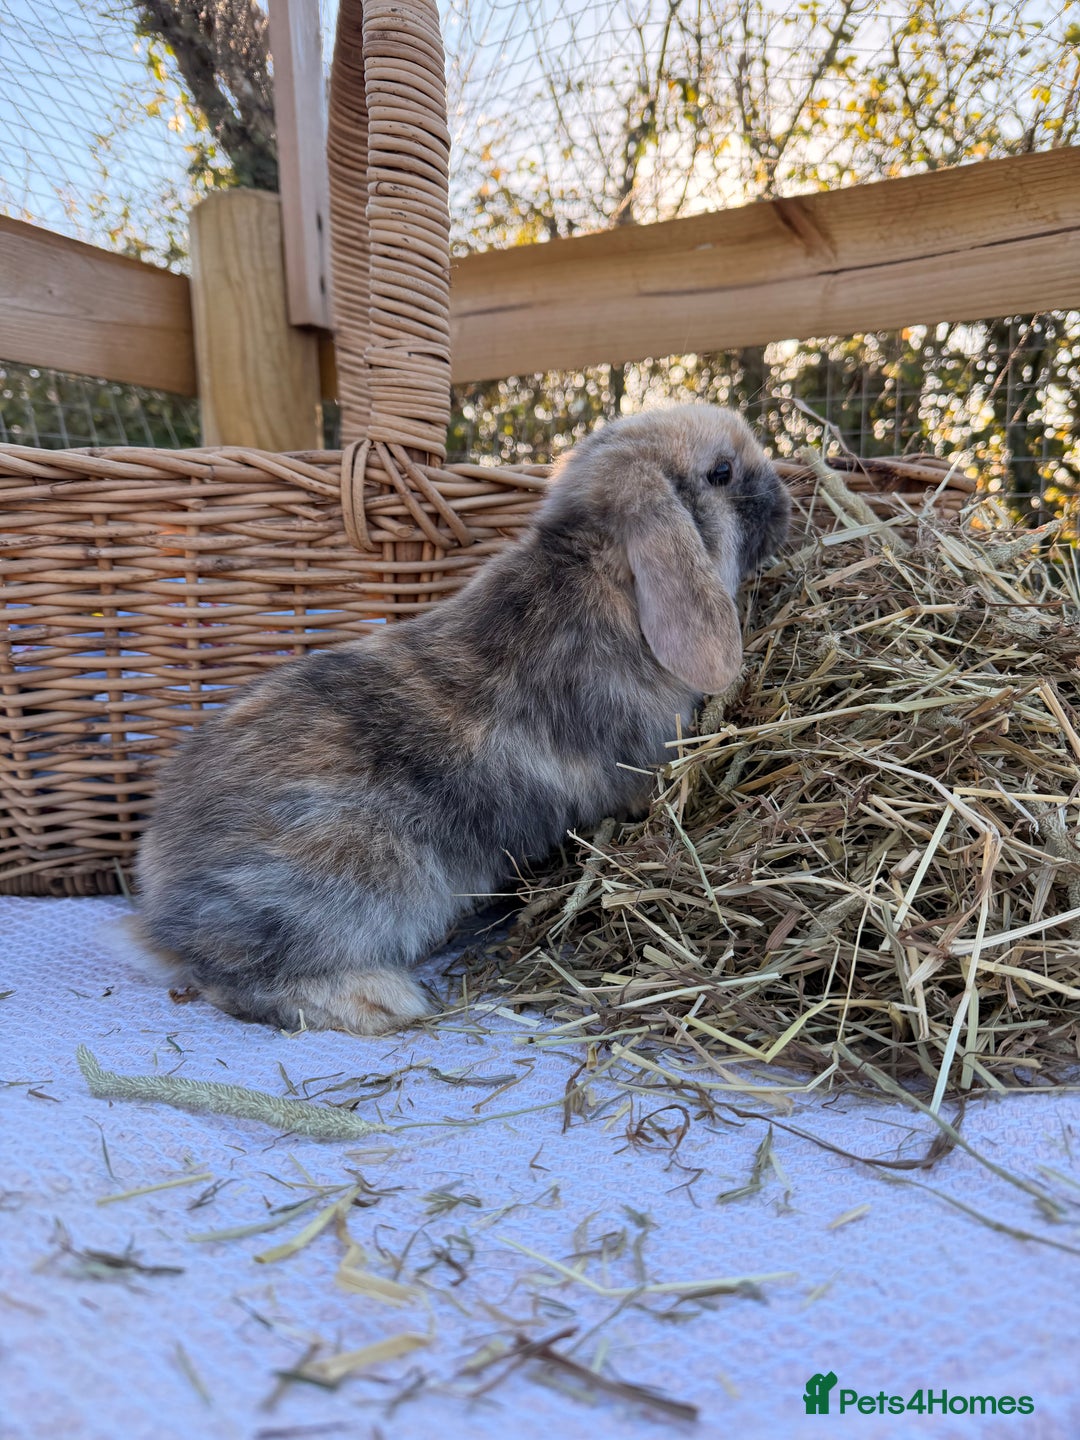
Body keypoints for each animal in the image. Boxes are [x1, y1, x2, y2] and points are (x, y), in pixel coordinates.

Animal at [134, 403, 790, 1034]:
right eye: (722, 472)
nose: (784, 498)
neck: (605, 575)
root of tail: (162, 890)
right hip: (352, 884)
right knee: (234, 979)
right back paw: (377, 1001)